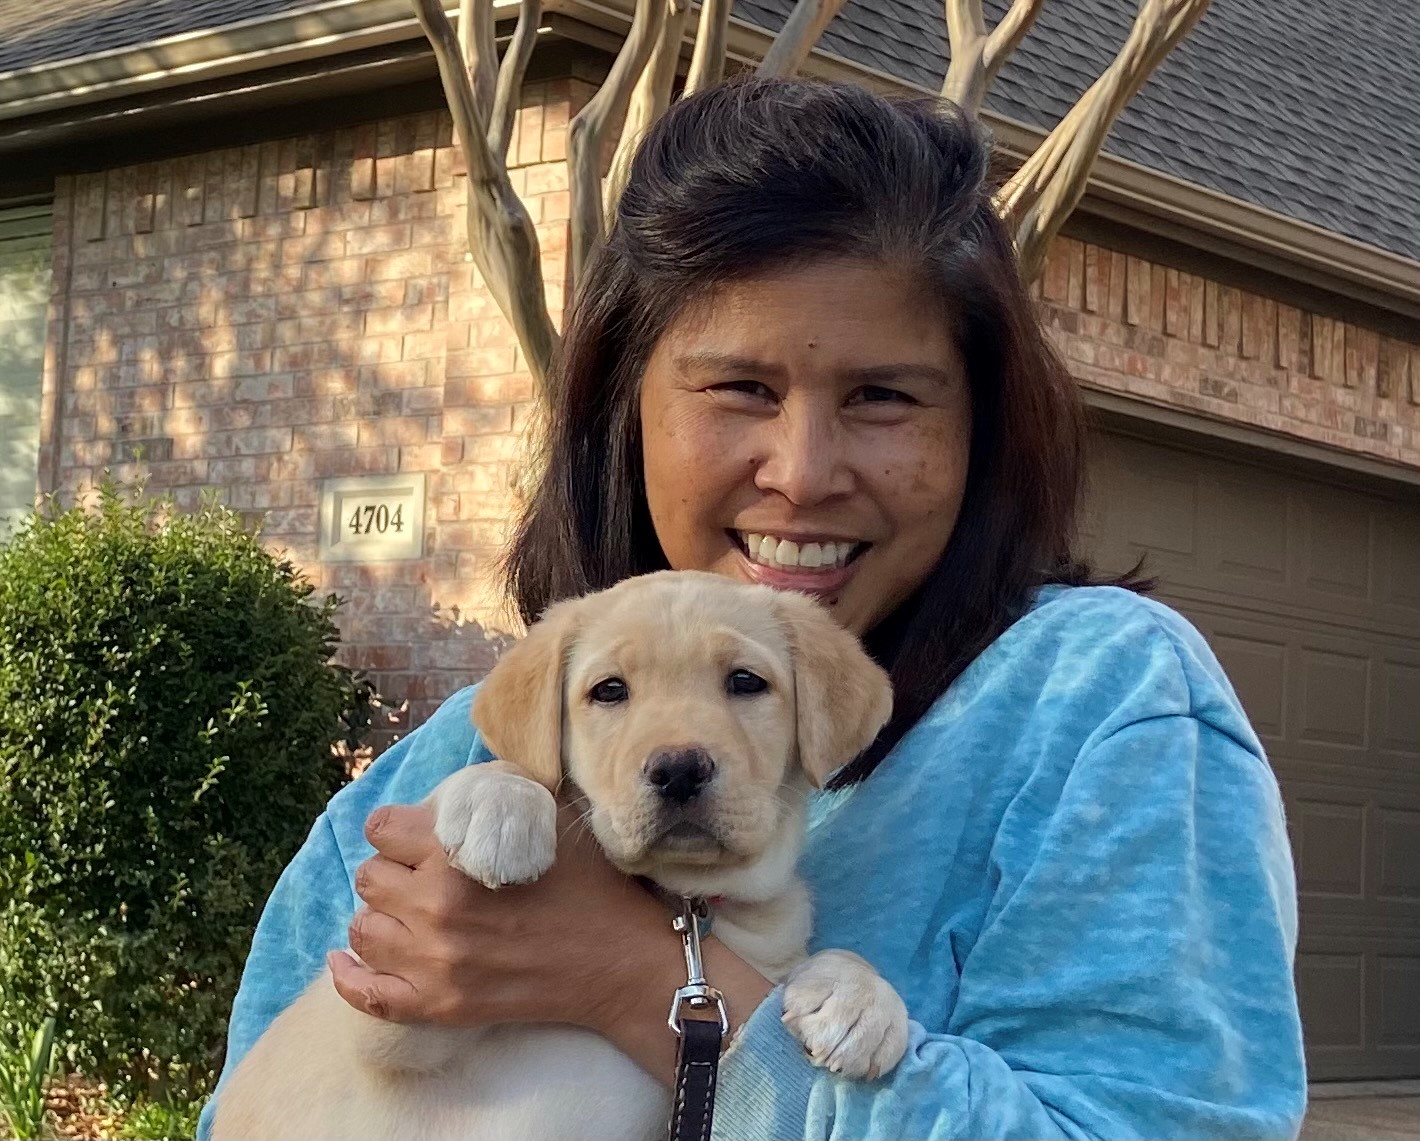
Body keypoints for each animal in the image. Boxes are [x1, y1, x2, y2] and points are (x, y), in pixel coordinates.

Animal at [215, 570, 914, 1141]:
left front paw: (860, 1000)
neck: (683, 900)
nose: (679, 769)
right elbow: (503, 768)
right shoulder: (385, 1011)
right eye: (608, 691)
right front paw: (499, 804)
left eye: (746, 682)